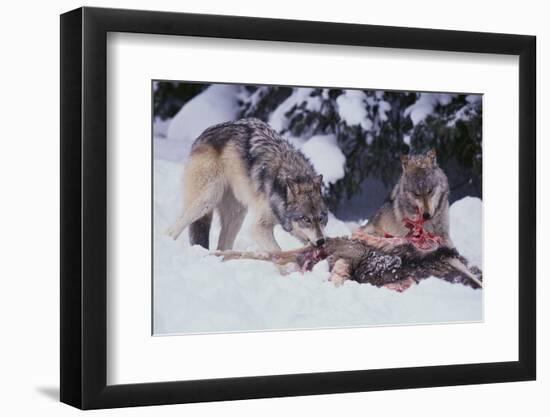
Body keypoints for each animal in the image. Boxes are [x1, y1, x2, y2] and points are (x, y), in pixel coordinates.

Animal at [166, 117, 330, 250]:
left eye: (321, 218)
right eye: (306, 219)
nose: (321, 241)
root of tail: (201, 136)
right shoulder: (258, 228)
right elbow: (277, 251)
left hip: (236, 214)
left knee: (222, 247)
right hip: (207, 199)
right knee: (172, 229)